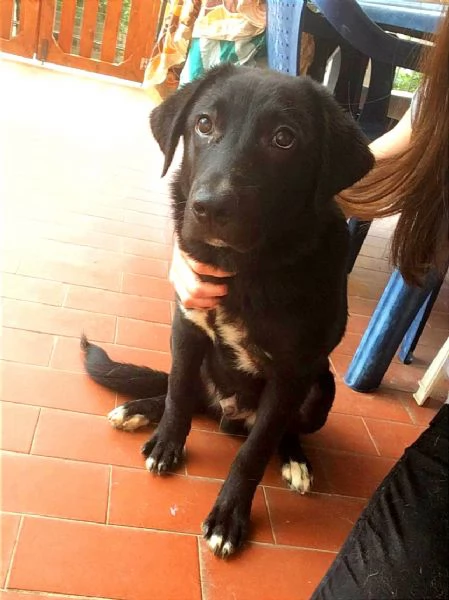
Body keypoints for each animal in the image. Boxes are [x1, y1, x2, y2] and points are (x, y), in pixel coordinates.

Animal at [82, 64, 372, 556]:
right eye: (203, 124)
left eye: (283, 138)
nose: (209, 208)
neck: (246, 272)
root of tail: (229, 413)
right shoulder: (187, 327)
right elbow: (178, 394)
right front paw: (167, 443)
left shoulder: (291, 373)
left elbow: (254, 452)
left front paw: (228, 516)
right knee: (185, 394)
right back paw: (140, 409)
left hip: (320, 390)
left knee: (281, 430)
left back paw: (295, 460)